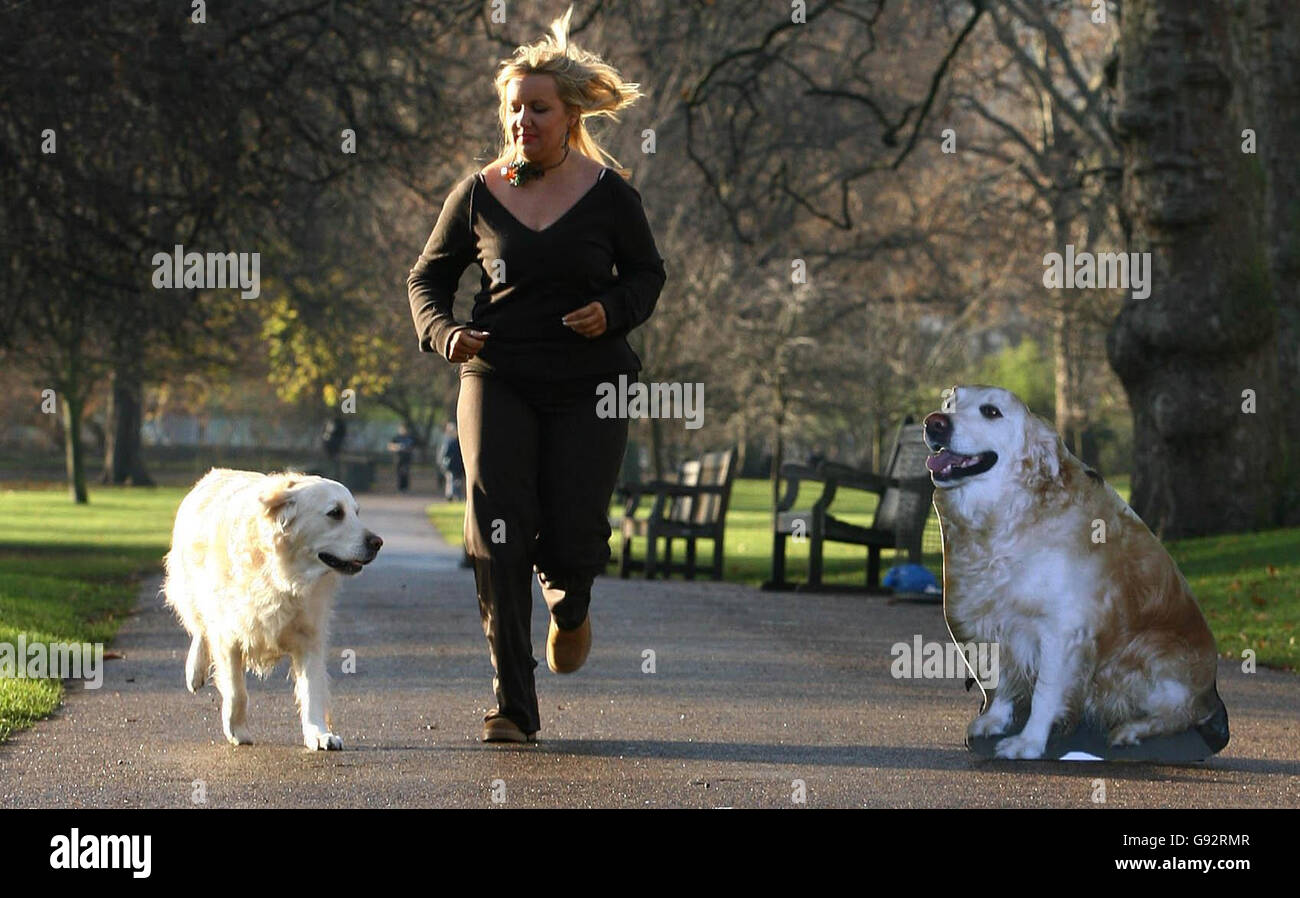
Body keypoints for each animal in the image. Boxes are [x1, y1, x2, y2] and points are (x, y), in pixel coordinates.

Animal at [159, 470, 379, 753]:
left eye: (357, 512)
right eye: (335, 513)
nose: (378, 542)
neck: (284, 575)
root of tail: (214, 473)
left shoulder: (310, 635)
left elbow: (312, 689)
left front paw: (319, 733)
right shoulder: (229, 634)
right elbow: (236, 691)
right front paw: (237, 730)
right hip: (188, 588)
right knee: (199, 627)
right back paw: (195, 671)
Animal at [925, 384, 1227, 758]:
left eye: (991, 411)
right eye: (949, 403)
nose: (934, 423)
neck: (1010, 512)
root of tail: (1209, 692)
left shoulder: (1062, 630)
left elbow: (1044, 694)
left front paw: (1029, 741)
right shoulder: (1003, 620)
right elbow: (1005, 678)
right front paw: (996, 719)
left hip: (1147, 657)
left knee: (1180, 714)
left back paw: (1132, 729)